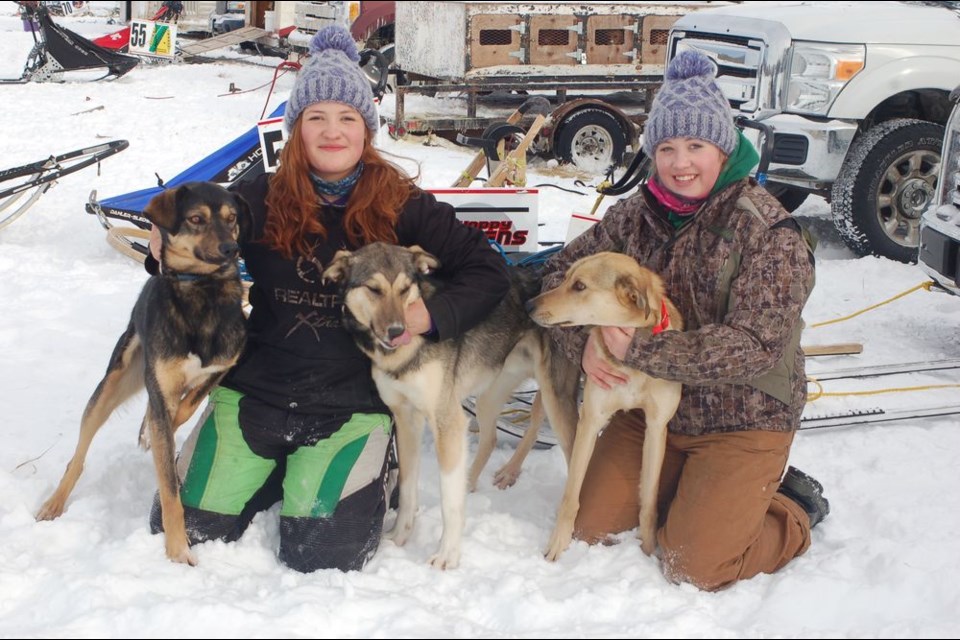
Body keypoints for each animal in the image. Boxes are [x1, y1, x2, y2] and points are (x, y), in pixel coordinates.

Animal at [324, 244, 576, 568]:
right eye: (374, 289)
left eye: (404, 289)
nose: (396, 330)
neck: (404, 354)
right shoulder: (407, 420)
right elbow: (407, 488)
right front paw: (400, 536)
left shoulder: (447, 422)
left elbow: (449, 503)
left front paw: (448, 555)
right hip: (488, 396)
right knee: (491, 438)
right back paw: (476, 480)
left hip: (556, 399)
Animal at [524, 250, 684, 560]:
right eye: (565, 277)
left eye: (580, 286)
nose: (529, 305)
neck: (629, 363)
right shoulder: (591, 420)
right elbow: (571, 495)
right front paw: (558, 544)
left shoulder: (656, 427)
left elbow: (649, 501)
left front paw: (648, 550)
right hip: (560, 401)